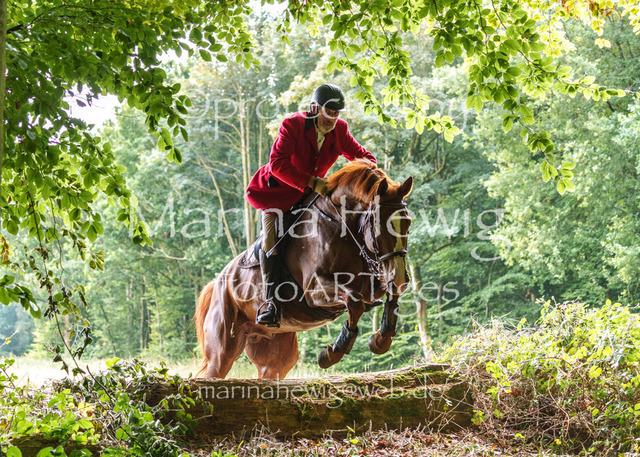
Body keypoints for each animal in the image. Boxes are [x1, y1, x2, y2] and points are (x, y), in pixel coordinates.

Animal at [195, 160, 413, 379]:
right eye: (378, 225)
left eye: (408, 223)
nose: (400, 278)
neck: (342, 225)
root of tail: (217, 283)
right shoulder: (315, 290)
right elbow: (355, 302)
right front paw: (334, 352)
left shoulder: (373, 283)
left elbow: (387, 294)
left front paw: (381, 339)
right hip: (221, 352)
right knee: (215, 370)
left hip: (275, 359)